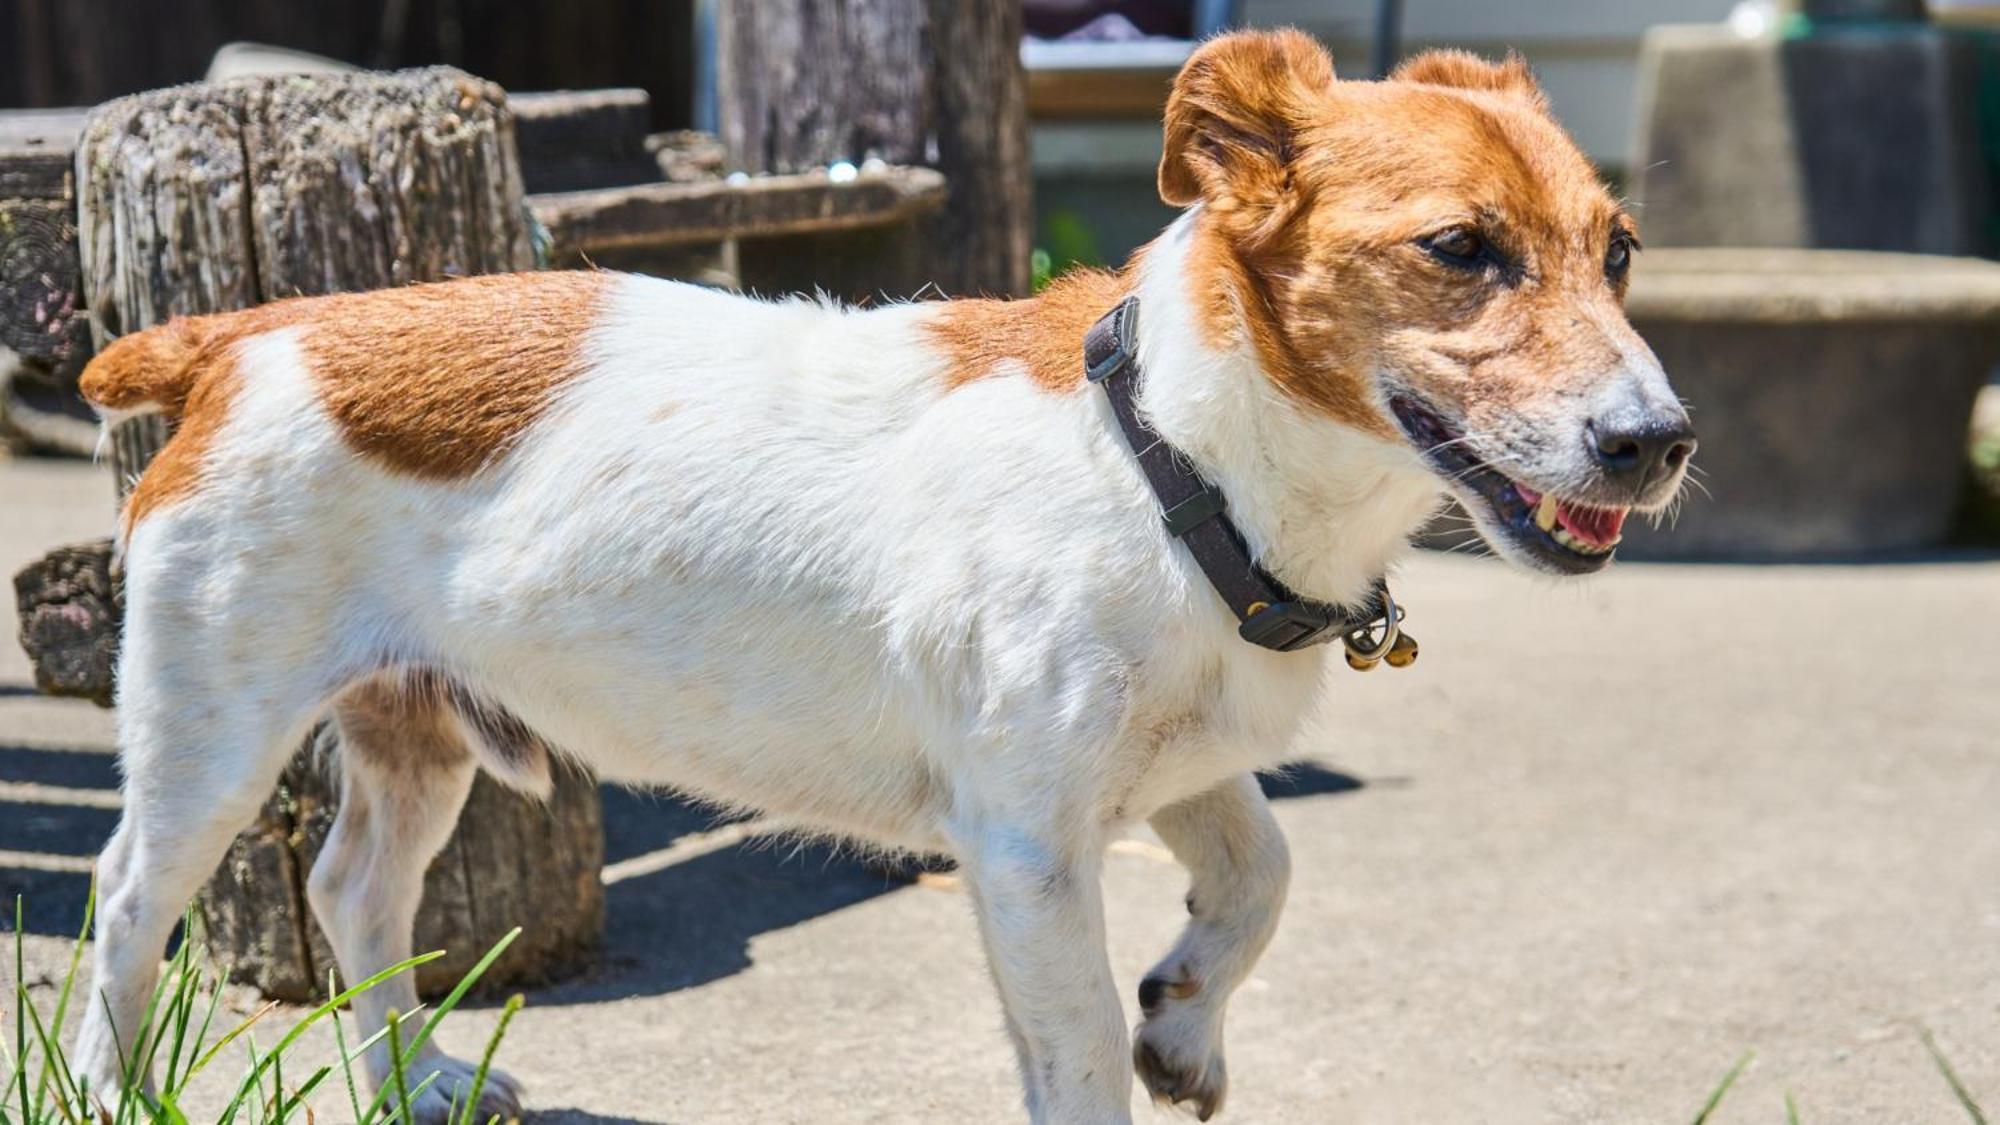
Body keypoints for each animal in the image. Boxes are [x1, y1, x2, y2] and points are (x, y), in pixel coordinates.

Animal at [70, 32, 1688, 1120]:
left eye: (1619, 251)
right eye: (1460, 248)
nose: (1658, 442)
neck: (1173, 458)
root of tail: (251, 333)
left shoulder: (1176, 764)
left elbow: (1262, 873)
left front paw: (1184, 1025)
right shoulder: (1026, 841)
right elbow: (1077, 1056)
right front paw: (1141, 1042)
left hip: (412, 731)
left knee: (353, 892)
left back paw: (414, 1083)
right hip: (212, 728)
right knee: (125, 899)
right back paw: (111, 1087)